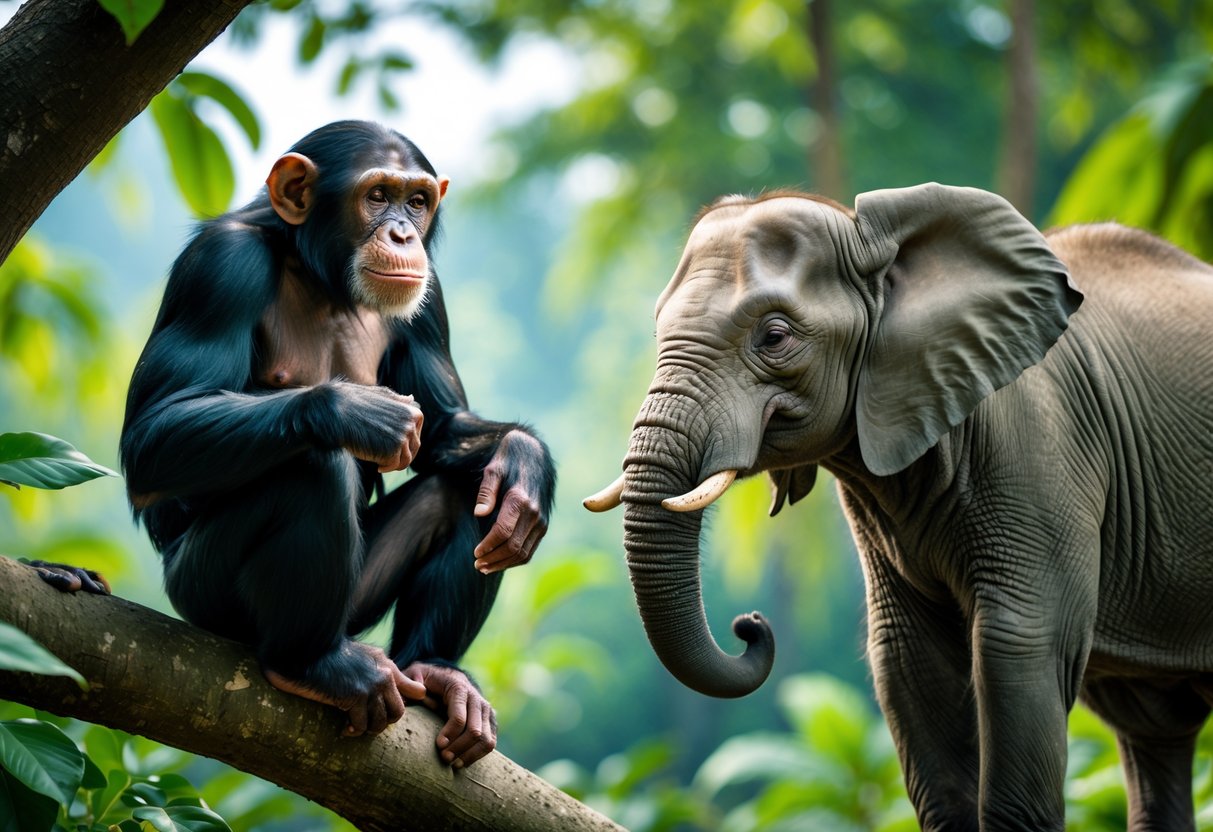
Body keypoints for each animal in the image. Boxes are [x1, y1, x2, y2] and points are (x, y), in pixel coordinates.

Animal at [584, 183, 1213, 831]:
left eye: (775, 337)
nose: (750, 624)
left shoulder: (1043, 450)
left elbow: (1020, 646)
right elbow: (911, 662)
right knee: (1152, 727)